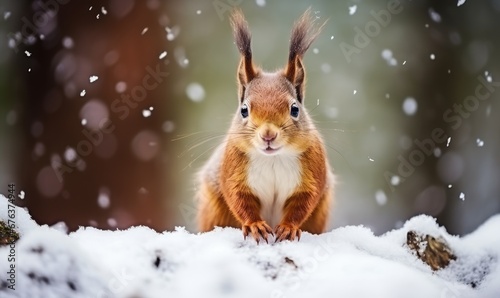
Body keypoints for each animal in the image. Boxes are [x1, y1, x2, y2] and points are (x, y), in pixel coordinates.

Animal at [197, 8, 334, 242]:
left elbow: (303, 203)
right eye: (244, 110)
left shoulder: (313, 171)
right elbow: (238, 199)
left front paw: (288, 227)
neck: (273, 159)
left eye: (295, 109)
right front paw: (255, 225)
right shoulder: (233, 167)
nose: (268, 135)